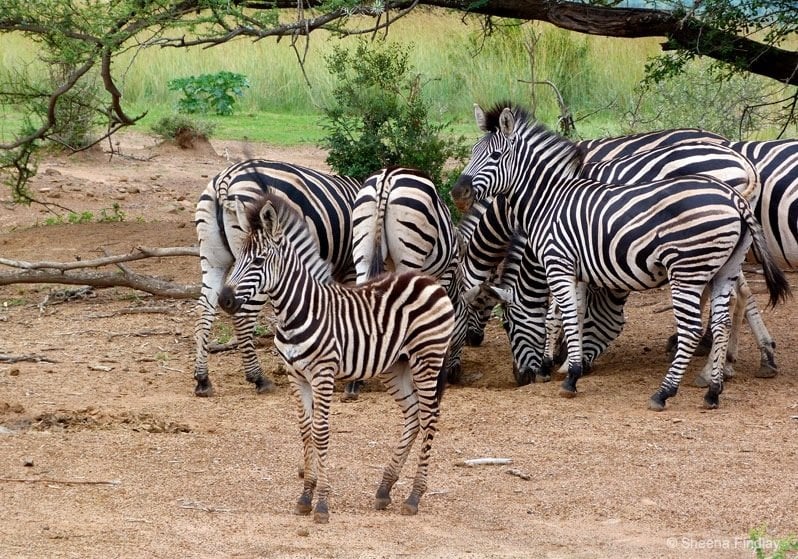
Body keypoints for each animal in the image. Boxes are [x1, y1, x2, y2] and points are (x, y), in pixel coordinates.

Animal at [193, 160, 360, 398]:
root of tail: (226, 177)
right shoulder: (351, 265)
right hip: (257, 268)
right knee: (243, 315)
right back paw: (258, 378)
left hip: (213, 258)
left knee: (203, 311)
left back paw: (202, 379)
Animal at [217, 195, 456, 524]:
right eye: (238, 258)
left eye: (259, 261)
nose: (224, 300)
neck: (297, 310)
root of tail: (428, 279)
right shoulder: (296, 376)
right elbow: (305, 431)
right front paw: (305, 496)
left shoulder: (323, 374)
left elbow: (320, 433)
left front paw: (322, 503)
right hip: (397, 365)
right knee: (413, 414)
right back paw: (385, 488)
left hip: (427, 358)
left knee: (430, 416)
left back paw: (414, 496)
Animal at [344, 168, 468, 400]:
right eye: (466, 332)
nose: (456, 376)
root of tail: (388, 176)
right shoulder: (446, 274)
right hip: (410, 251)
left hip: (362, 251)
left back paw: (354, 383)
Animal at [454, 104, 792, 412]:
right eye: (472, 152)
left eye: (506, 324)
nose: (458, 192)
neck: (548, 199)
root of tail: (740, 171)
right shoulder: (581, 264)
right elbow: (577, 311)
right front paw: (568, 360)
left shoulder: (558, 262)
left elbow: (560, 314)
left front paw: (562, 368)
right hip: (726, 265)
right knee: (726, 314)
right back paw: (717, 385)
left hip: (687, 269)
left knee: (695, 325)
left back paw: (667, 391)